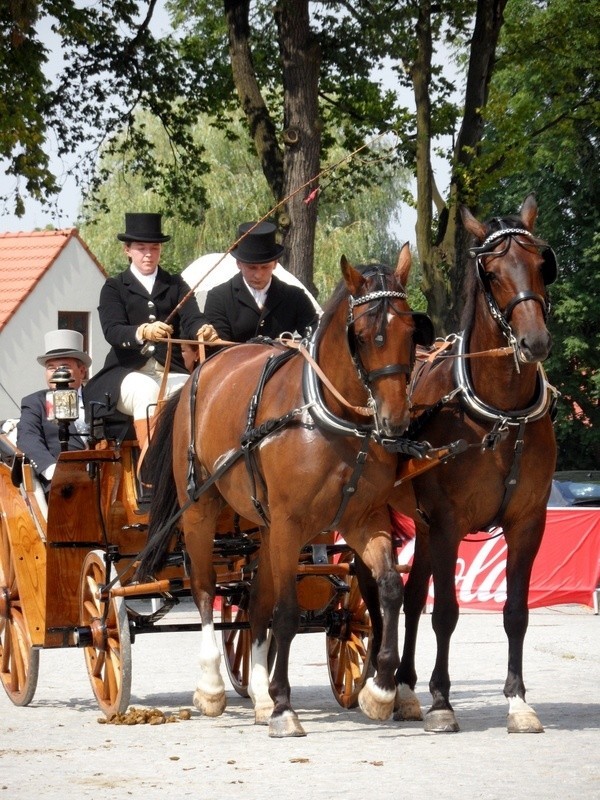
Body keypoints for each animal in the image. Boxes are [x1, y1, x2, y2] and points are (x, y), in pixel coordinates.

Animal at [139, 245, 434, 736]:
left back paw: (258, 694)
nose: (395, 421)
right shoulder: (290, 523)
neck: (328, 418)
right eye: (363, 334)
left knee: (255, 603)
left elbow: (390, 588)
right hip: (200, 509)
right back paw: (212, 688)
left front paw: (380, 690)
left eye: (411, 330)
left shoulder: (362, 519)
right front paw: (283, 706)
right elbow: (289, 614)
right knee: (203, 589)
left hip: (262, 527)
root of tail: (203, 368)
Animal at [390, 194, 556, 732]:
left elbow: (516, 611)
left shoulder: (527, 521)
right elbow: (446, 611)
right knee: (399, 595)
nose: (534, 342)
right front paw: (442, 701)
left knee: (412, 596)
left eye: (541, 264)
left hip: (420, 524)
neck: (499, 413)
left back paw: (403, 687)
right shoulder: (447, 521)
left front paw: (518, 700)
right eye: (492, 271)